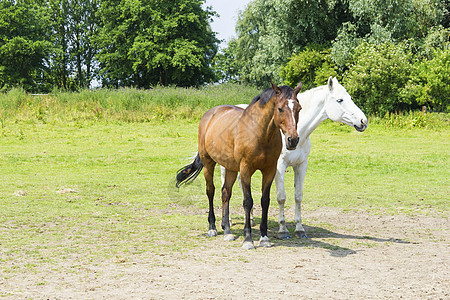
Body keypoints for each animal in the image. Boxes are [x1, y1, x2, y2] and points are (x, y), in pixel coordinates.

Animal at [176, 81, 302, 248]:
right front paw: (248, 239)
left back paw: (227, 231)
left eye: (299, 108)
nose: (292, 140)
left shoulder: (269, 170)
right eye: (280, 108)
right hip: (209, 163)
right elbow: (248, 202)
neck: (259, 133)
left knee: (225, 193)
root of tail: (209, 115)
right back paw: (212, 228)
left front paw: (264, 237)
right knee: (211, 191)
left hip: (230, 168)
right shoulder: (246, 170)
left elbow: (265, 201)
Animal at [220, 77, 368, 239]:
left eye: (350, 98)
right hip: (226, 166)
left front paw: (299, 228)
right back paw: (226, 222)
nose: (363, 121)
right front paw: (283, 230)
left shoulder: (301, 165)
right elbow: (281, 197)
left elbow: (298, 196)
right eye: (340, 100)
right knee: (225, 189)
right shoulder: (279, 166)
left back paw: (251, 219)